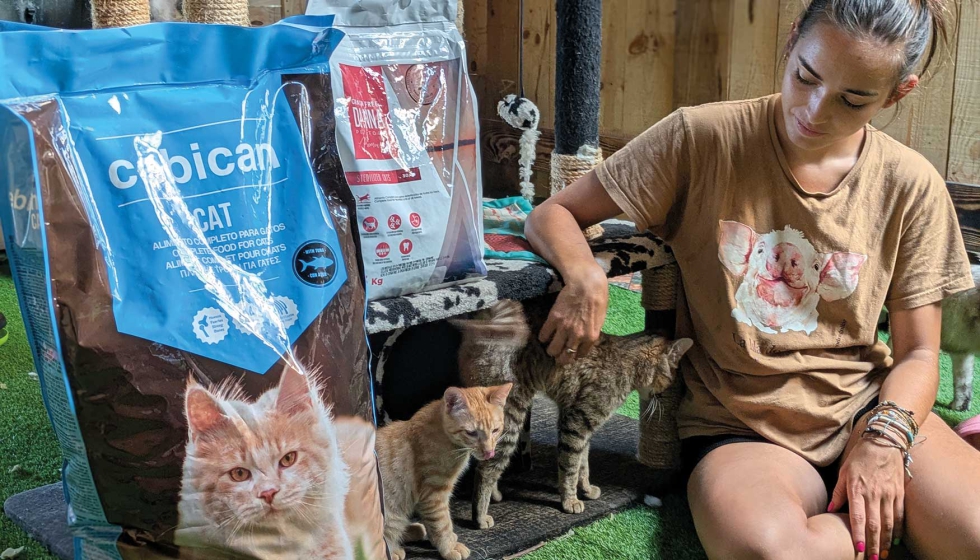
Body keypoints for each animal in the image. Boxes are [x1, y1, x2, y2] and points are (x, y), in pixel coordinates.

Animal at [376, 384, 512, 560]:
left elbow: (435, 524)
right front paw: (449, 547)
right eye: (471, 433)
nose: (489, 452)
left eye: (495, 430)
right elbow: (442, 523)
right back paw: (394, 550)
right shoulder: (433, 495)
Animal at [456, 298, 692, 528]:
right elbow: (570, 466)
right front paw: (570, 501)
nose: (663, 394)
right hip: (511, 417)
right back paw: (480, 516)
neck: (626, 363)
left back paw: (495, 495)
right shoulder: (575, 424)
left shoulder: (582, 425)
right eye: (671, 378)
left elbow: (583, 463)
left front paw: (586, 489)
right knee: (485, 468)